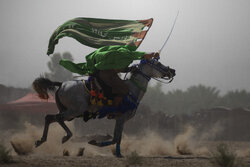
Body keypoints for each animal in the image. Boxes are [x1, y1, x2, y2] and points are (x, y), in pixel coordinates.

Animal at [32, 57, 176, 157]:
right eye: (157, 64)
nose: (172, 70)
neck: (131, 90)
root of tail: (62, 84)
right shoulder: (121, 117)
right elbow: (115, 138)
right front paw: (95, 142)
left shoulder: (121, 119)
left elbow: (117, 137)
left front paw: (118, 153)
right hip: (74, 111)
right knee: (56, 118)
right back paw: (66, 136)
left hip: (69, 112)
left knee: (50, 118)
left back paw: (41, 140)